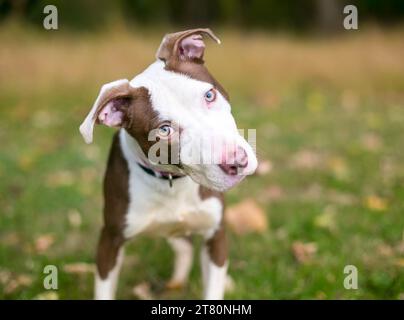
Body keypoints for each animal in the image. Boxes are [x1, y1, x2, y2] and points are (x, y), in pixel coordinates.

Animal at [78, 28, 256, 300]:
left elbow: (213, 286)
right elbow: (104, 289)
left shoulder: (215, 233)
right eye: (164, 130)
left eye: (209, 95)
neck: (172, 181)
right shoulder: (110, 240)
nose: (238, 161)